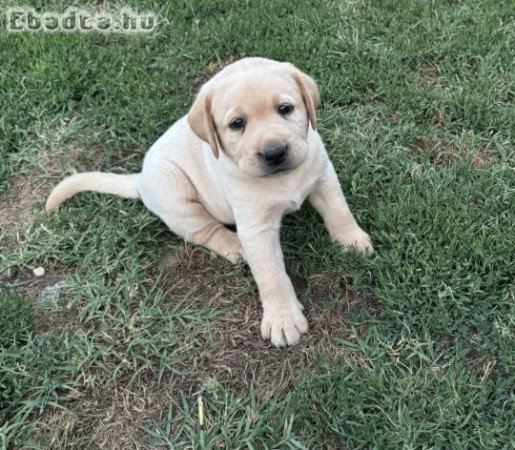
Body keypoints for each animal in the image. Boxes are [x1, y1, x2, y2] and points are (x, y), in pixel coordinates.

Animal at [46, 57, 372, 348]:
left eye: (285, 109)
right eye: (237, 124)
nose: (275, 152)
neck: (283, 178)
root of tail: (139, 179)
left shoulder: (323, 176)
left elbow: (339, 211)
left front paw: (353, 241)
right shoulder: (255, 228)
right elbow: (271, 274)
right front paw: (282, 319)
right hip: (176, 194)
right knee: (206, 231)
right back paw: (235, 246)